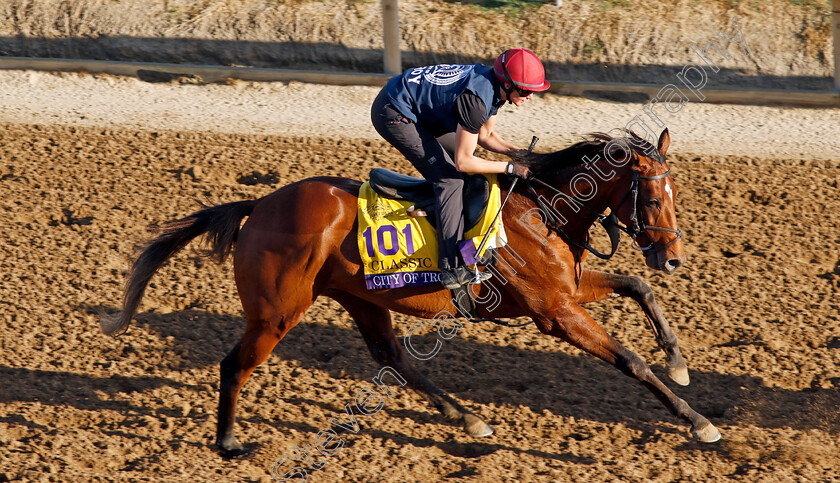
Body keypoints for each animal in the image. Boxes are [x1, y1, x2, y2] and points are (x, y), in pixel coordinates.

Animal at [101, 127, 720, 454]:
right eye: (653, 197)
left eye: (676, 194)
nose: (673, 257)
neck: (544, 210)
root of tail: (260, 205)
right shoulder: (554, 312)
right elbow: (631, 362)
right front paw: (698, 421)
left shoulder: (566, 291)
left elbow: (636, 285)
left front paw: (679, 360)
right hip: (276, 311)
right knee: (235, 365)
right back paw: (228, 442)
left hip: (360, 297)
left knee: (390, 356)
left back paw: (468, 418)